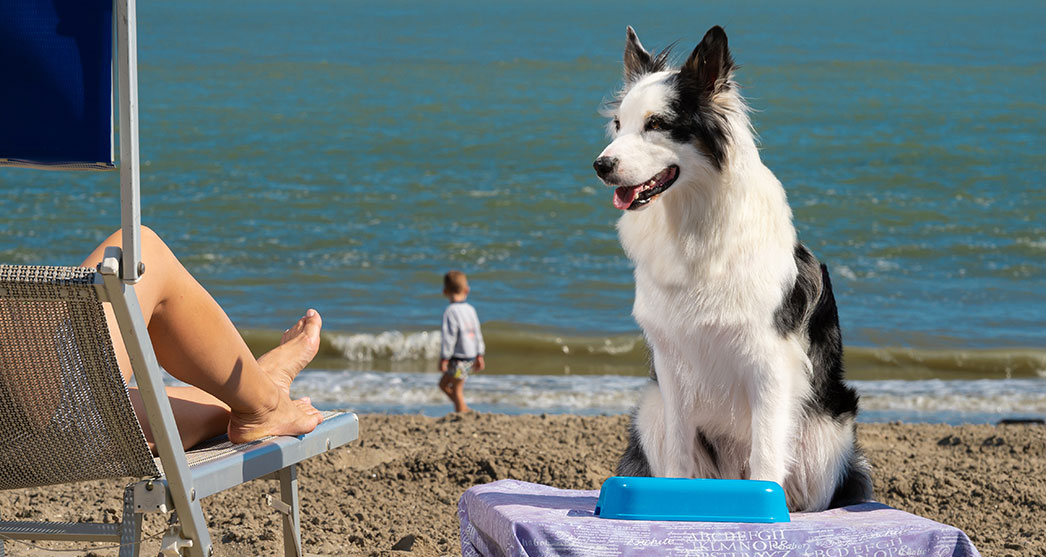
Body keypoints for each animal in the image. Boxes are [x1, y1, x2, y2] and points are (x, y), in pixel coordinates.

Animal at [594, 27, 870, 512]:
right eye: (618, 125)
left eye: (656, 124)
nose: (600, 166)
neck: (692, 225)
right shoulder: (671, 363)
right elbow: (679, 453)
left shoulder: (771, 362)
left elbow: (766, 456)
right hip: (651, 408)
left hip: (826, 432)